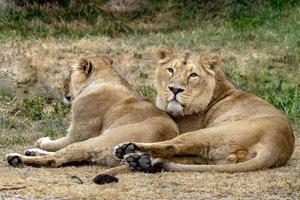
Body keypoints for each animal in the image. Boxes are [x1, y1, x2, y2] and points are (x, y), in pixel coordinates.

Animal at [5, 55, 178, 184]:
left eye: (69, 75)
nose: (62, 89)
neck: (106, 77)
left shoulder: (77, 134)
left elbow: (54, 144)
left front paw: (42, 141)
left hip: (95, 141)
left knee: (57, 159)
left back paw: (15, 158)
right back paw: (30, 152)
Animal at [115, 44, 296, 173]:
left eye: (193, 75)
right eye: (170, 70)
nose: (175, 89)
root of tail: (279, 145)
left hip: (207, 133)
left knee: (172, 146)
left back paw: (129, 150)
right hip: (217, 155)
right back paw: (139, 161)